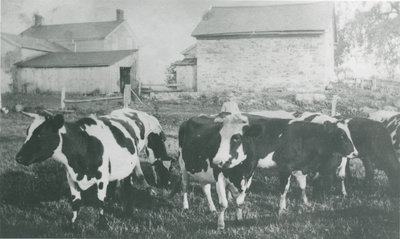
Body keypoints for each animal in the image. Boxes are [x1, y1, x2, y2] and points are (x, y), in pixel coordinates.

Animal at [15, 108, 171, 228]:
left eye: (40, 134)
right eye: (27, 133)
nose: (18, 157)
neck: (84, 145)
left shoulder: (102, 177)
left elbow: (100, 201)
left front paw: (102, 224)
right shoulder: (71, 177)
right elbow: (75, 202)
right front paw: (73, 225)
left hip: (130, 166)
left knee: (128, 186)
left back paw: (128, 211)